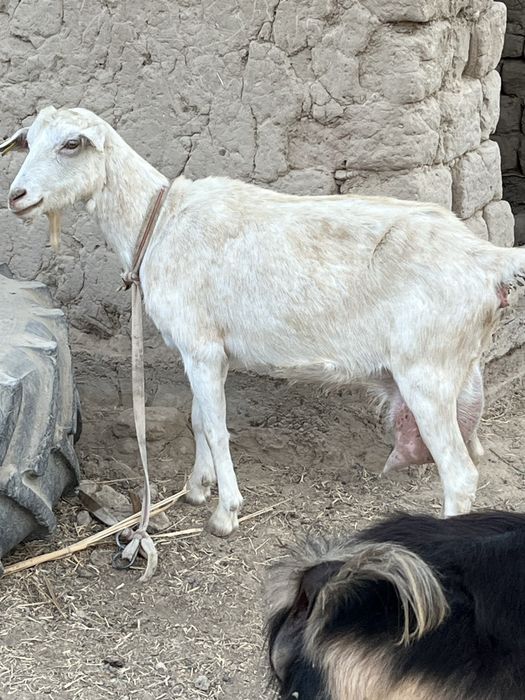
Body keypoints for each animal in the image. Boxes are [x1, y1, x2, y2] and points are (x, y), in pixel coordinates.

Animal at [2, 106, 525, 536]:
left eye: (72, 144)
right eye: (30, 140)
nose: (17, 196)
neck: (159, 222)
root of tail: (489, 260)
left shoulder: (200, 346)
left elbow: (216, 427)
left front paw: (226, 513)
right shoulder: (210, 350)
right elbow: (199, 419)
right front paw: (198, 488)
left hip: (426, 374)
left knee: (460, 475)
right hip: (460, 371)